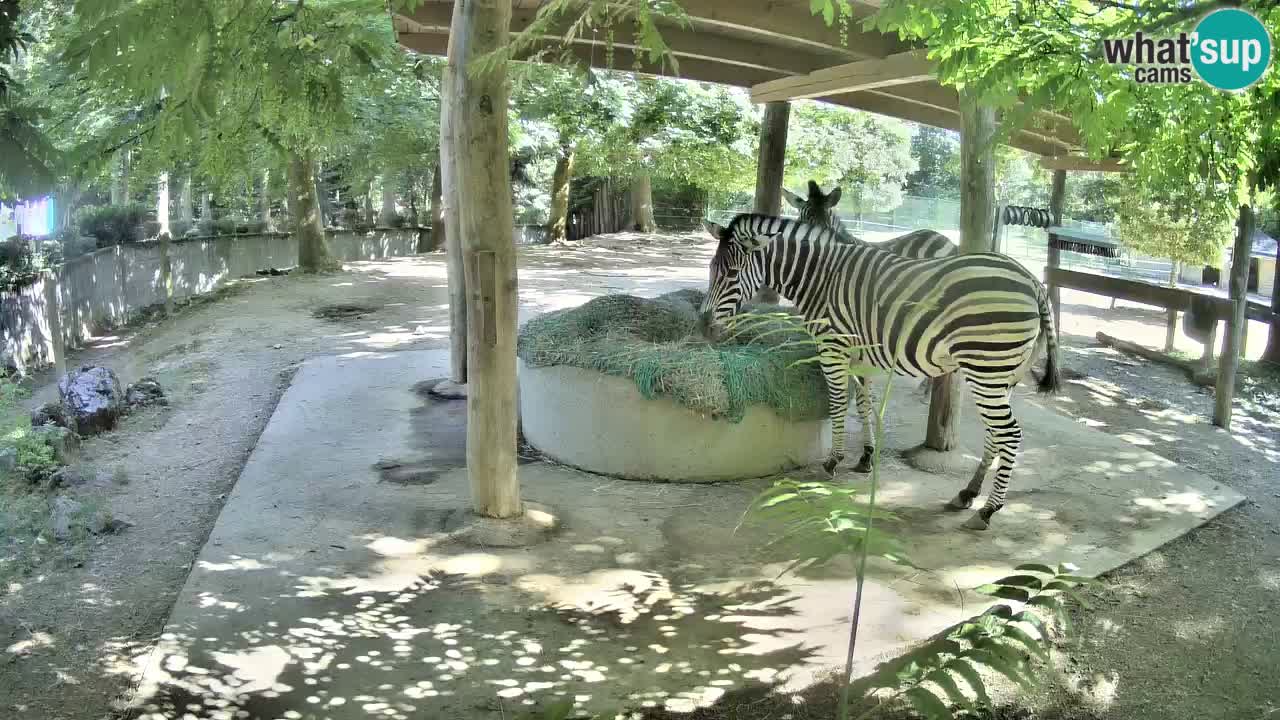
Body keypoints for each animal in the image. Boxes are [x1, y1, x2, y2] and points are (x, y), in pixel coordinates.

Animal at [700, 213, 1060, 531]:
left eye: (732, 272)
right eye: (711, 268)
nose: (705, 326)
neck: (821, 278)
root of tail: (1031, 280)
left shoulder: (832, 347)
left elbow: (837, 404)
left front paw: (833, 461)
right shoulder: (860, 354)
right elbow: (862, 404)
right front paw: (866, 457)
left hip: (987, 369)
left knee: (1009, 434)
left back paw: (987, 511)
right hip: (1003, 375)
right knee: (995, 435)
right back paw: (967, 494)